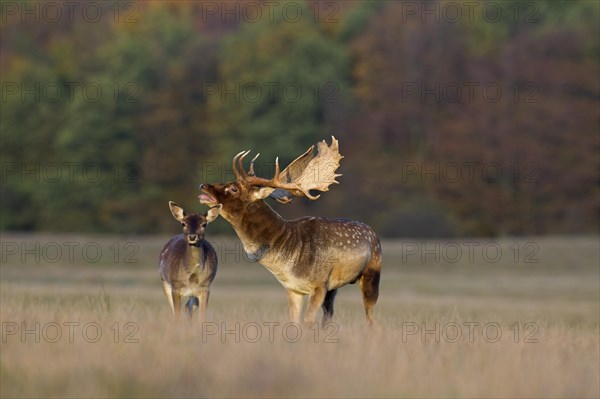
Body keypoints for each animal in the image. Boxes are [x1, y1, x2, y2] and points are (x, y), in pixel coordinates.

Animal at [199, 138, 382, 324]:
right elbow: (294, 321)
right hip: (334, 289)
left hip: (372, 273)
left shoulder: (319, 283)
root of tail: (373, 234)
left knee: (370, 318)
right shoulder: (293, 289)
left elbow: (309, 321)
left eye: (234, 188)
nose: (203, 185)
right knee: (329, 315)